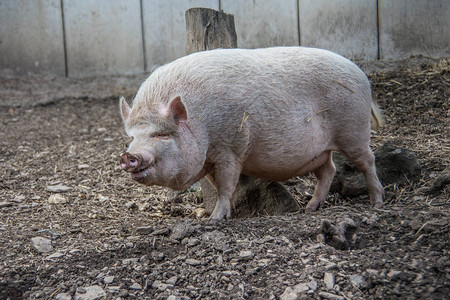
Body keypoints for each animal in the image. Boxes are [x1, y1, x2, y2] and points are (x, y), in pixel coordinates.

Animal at [120, 47, 386, 220]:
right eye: (132, 138)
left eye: (161, 135)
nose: (129, 156)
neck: (201, 124)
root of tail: (361, 74)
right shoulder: (209, 160)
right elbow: (219, 187)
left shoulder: (230, 148)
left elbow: (227, 186)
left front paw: (213, 220)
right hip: (321, 150)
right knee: (328, 170)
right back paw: (310, 208)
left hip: (354, 131)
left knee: (368, 161)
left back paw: (376, 203)